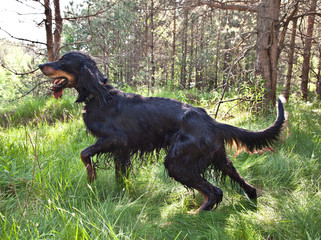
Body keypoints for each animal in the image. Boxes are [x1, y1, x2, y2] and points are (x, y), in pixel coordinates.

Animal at [38, 51, 284, 213]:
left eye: (63, 60)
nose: (41, 65)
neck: (99, 95)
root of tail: (210, 121)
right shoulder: (121, 150)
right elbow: (120, 175)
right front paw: (121, 194)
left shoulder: (116, 139)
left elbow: (84, 153)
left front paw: (92, 177)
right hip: (218, 158)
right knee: (243, 184)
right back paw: (250, 198)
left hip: (178, 163)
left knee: (215, 192)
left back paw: (195, 215)